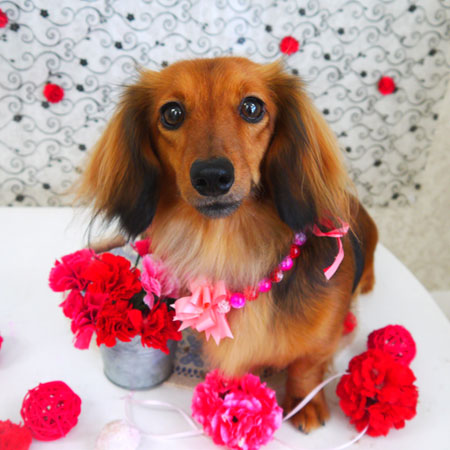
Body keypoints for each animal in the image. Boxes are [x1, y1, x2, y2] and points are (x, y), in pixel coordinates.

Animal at [77, 57, 378, 432]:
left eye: (252, 107)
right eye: (172, 113)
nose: (211, 177)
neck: (228, 245)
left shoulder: (323, 339)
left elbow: (306, 366)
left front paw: (304, 402)